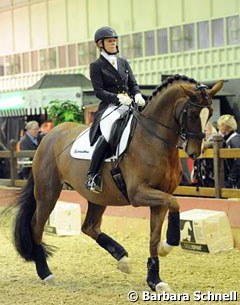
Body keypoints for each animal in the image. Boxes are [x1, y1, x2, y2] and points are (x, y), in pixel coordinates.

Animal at [13, 75, 223, 290]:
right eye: (192, 113)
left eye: (210, 112)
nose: (195, 152)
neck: (153, 139)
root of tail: (49, 136)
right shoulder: (138, 193)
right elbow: (175, 202)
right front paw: (167, 246)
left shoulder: (160, 196)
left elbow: (155, 235)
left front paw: (155, 279)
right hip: (48, 192)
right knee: (36, 227)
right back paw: (45, 273)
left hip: (97, 197)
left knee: (89, 227)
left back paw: (123, 259)